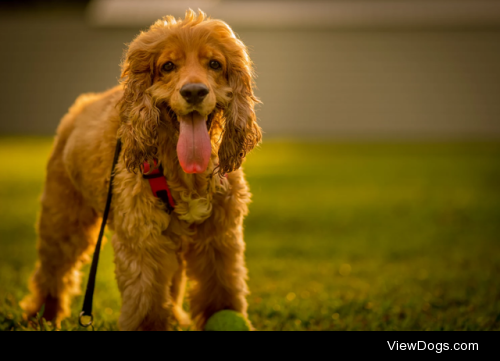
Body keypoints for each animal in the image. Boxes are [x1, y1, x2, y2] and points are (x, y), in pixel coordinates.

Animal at [19, 9, 262, 330]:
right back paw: (42, 315)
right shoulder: (143, 239)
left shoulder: (218, 236)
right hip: (63, 220)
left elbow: (222, 288)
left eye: (214, 64)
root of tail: (80, 107)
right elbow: (146, 301)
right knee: (52, 271)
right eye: (168, 66)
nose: (194, 92)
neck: (184, 170)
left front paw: (224, 316)